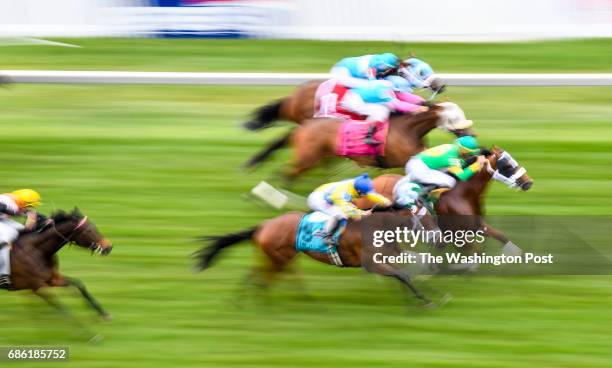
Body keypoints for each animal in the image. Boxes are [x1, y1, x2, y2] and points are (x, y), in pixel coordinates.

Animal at [194, 208, 438, 306]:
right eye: (427, 219)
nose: (437, 236)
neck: (378, 225)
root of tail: (263, 226)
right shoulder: (371, 264)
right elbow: (403, 275)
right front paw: (424, 300)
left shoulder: (390, 255)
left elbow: (408, 270)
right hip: (279, 257)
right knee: (264, 279)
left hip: (280, 257)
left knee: (256, 275)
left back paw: (243, 301)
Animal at [244, 105, 468, 181]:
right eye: (454, 117)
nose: (469, 132)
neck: (409, 129)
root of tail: (303, 126)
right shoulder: (407, 159)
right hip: (308, 157)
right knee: (289, 174)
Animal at [366, 145, 532, 252]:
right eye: (507, 165)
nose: (529, 182)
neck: (463, 195)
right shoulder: (457, 235)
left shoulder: (477, 225)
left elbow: (501, 236)